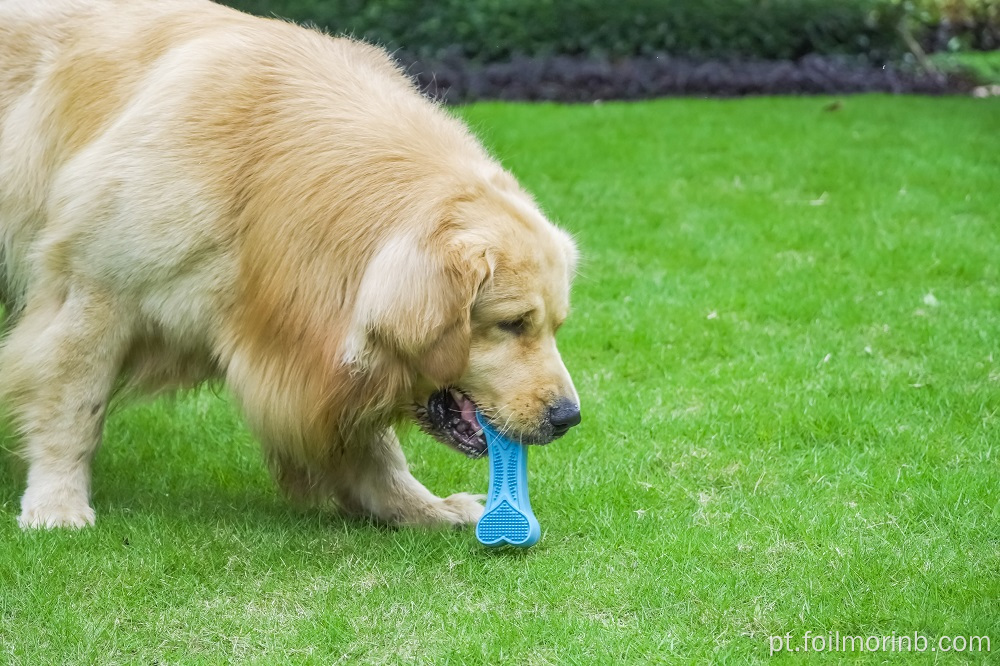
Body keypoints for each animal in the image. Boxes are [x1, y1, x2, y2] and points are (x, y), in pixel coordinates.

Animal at [0, 0, 580, 528]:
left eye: (554, 327)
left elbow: (369, 444)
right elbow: (74, 407)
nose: (569, 418)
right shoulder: (95, 288)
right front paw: (57, 503)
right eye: (512, 324)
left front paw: (419, 508)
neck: (260, 183)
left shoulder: (323, 347)